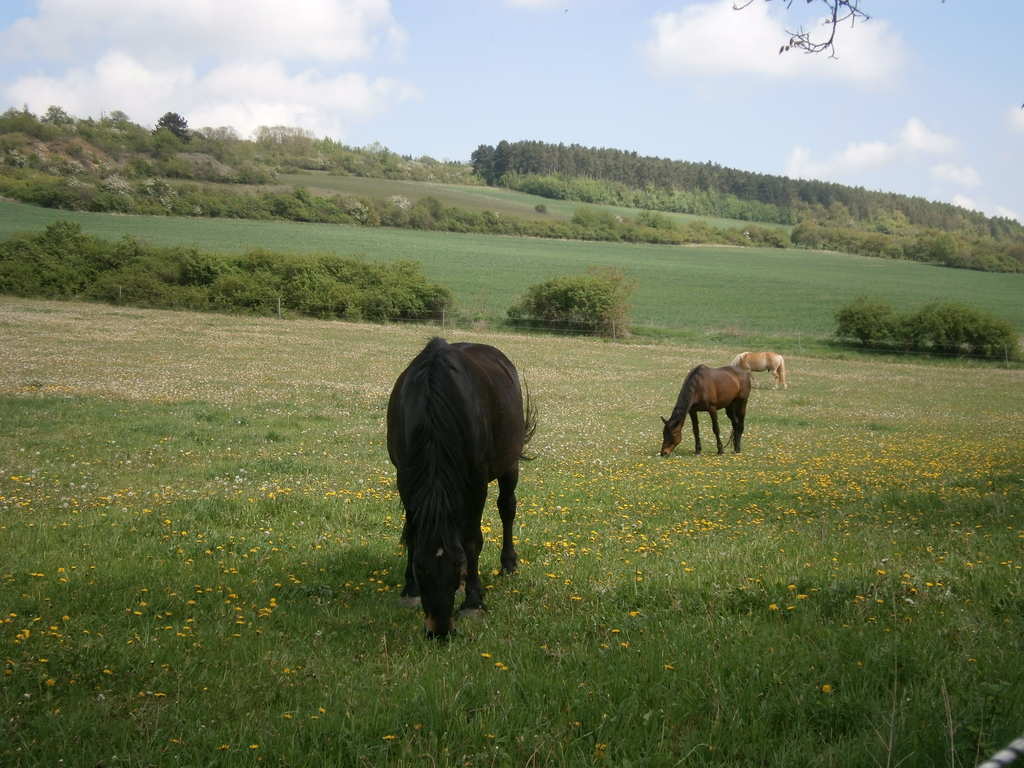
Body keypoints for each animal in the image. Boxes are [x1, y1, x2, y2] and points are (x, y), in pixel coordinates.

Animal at [385, 339, 536, 638]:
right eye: (420, 571)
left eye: (459, 568)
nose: (440, 632)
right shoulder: (405, 478)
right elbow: (412, 533)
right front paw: (409, 590)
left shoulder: (475, 483)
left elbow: (472, 541)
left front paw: (474, 603)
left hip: (509, 464)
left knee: (507, 508)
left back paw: (509, 563)